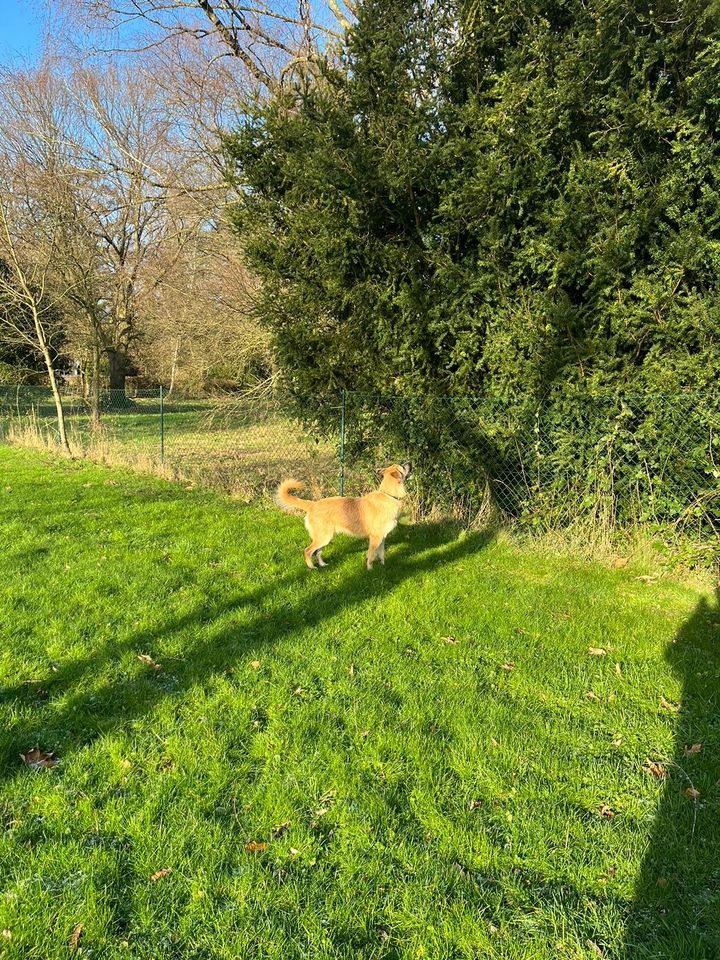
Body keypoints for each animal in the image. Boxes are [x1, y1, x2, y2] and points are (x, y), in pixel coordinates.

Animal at [274, 464, 410, 568]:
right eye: (402, 466)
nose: (409, 463)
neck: (389, 495)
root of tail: (312, 504)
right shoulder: (375, 538)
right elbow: (371, 555)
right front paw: (370, 570)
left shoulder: (382, 537)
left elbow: (381, 554)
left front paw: (382, 566)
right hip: (323, 537)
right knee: (308, 551)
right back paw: (312, 567)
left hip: (325, 538)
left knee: (317, 552)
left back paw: (322, 564)